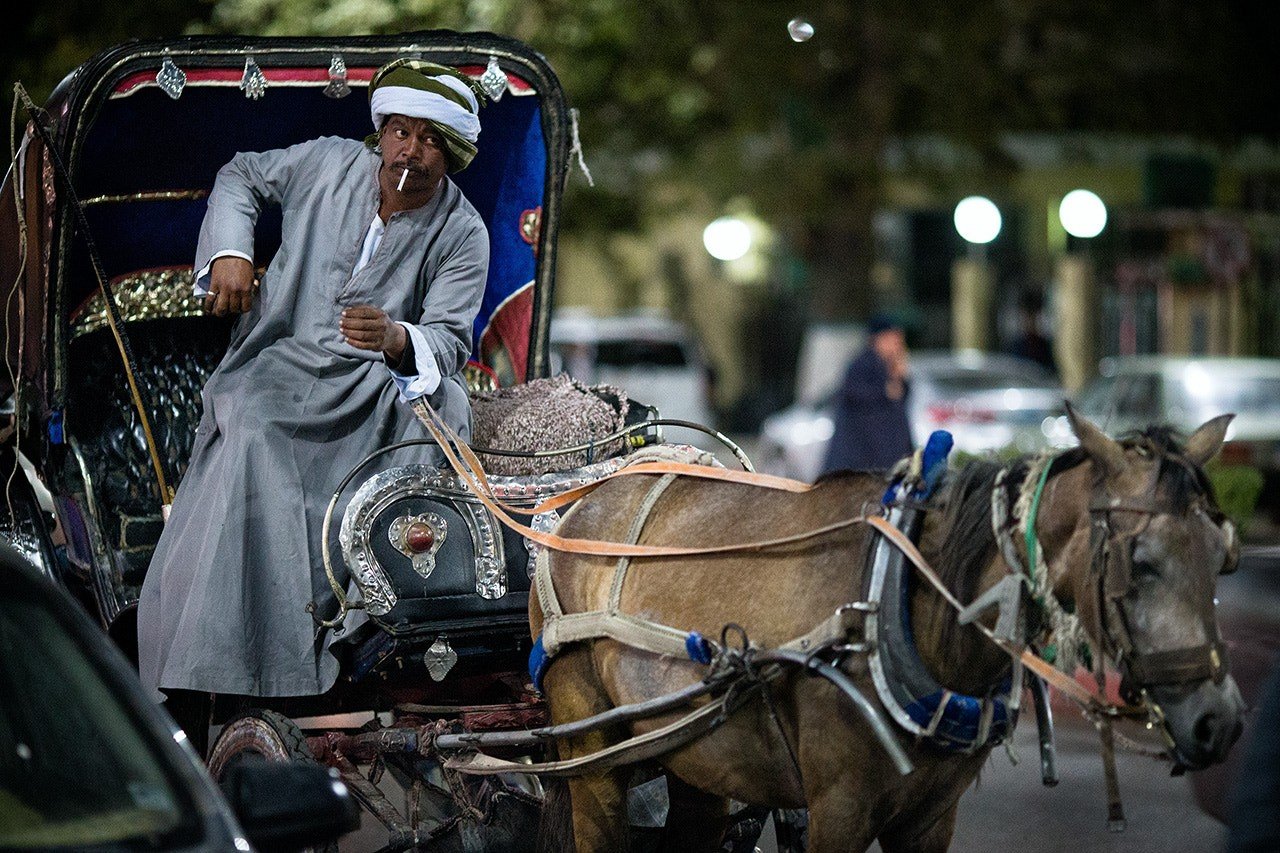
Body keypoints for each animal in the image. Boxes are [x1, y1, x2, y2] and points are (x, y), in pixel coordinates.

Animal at [529, 407, 1239, 850]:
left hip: (692, 751)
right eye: (1140, 562)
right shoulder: (838, 809)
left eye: (1222, 554)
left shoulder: (930, 819)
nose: (1221, 721)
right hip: (591, 750)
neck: (902, 605)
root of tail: (580, 503)